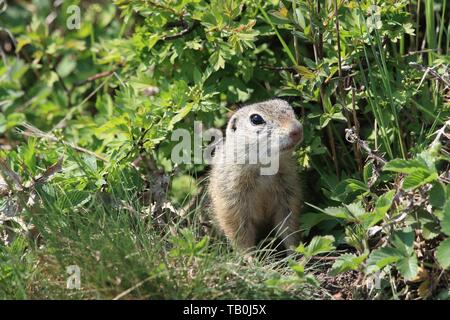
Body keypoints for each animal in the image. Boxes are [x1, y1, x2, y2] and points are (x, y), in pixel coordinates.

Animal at [210, 99, 302, 251]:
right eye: (256, 119)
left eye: (289, 108)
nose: (297, 130)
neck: (264, 168)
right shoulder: (231, 201)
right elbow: (239, 233)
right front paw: (249, 256)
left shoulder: (288, 195)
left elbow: (289, 226)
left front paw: (295, 252)